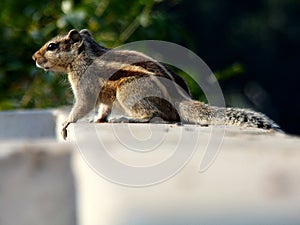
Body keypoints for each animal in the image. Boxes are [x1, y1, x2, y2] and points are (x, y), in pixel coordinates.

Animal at [31, 29, 280, 140]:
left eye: (52, 46)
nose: (34, 57)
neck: (83, 55)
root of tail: (180, 100)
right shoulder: (105, 96)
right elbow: (103, 108)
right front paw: (98, 120)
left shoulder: (85, 87)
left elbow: (82, 106)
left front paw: (66, 123)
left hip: (128, 91)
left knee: (153, 116)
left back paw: (127, 118)